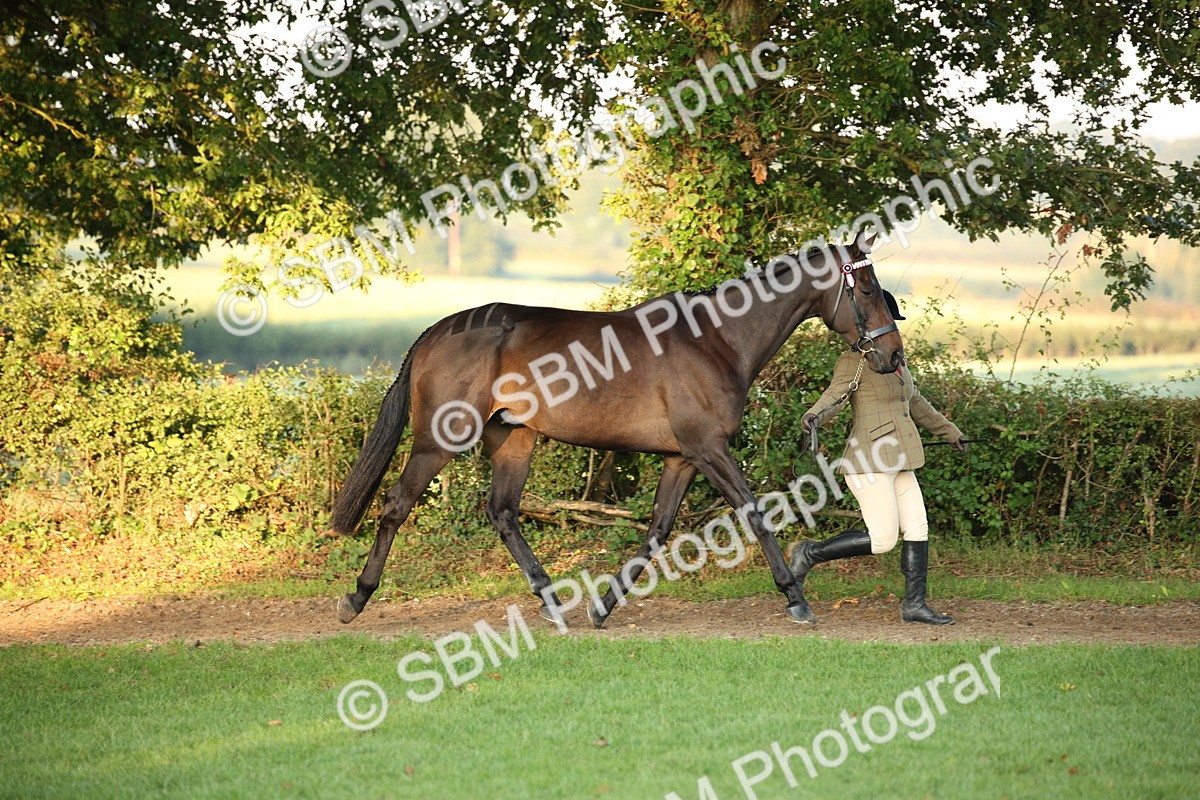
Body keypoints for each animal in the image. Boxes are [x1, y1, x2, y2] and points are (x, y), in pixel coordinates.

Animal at [329, 229, 903, 628]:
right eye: (868, 289)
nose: (893, 356)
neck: (717, 338)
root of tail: (437, 330)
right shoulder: (709, 449)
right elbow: (754, 513)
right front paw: (796, 597)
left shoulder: (682, 457)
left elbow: (657, 531)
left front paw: (602, 607)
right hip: (438, 441)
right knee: (396, 506)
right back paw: (356, 597)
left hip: (515, 438)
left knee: (504, 514)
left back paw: (551, 600)